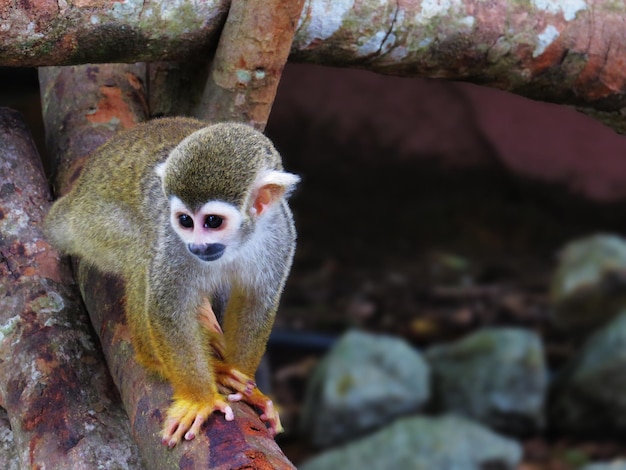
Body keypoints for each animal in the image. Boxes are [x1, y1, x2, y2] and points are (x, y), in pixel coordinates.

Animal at [45, 117, 298, 448]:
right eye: (185, 221)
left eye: (212, 222)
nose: (197, 246)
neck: (239, 241)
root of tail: (75, 199)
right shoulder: (173, 238)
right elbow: (168, 306)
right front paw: (200, 399)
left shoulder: (280, 233)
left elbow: (256, 304)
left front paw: (247, 387)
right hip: (94, 228)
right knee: (142, 252)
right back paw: (157, 359)